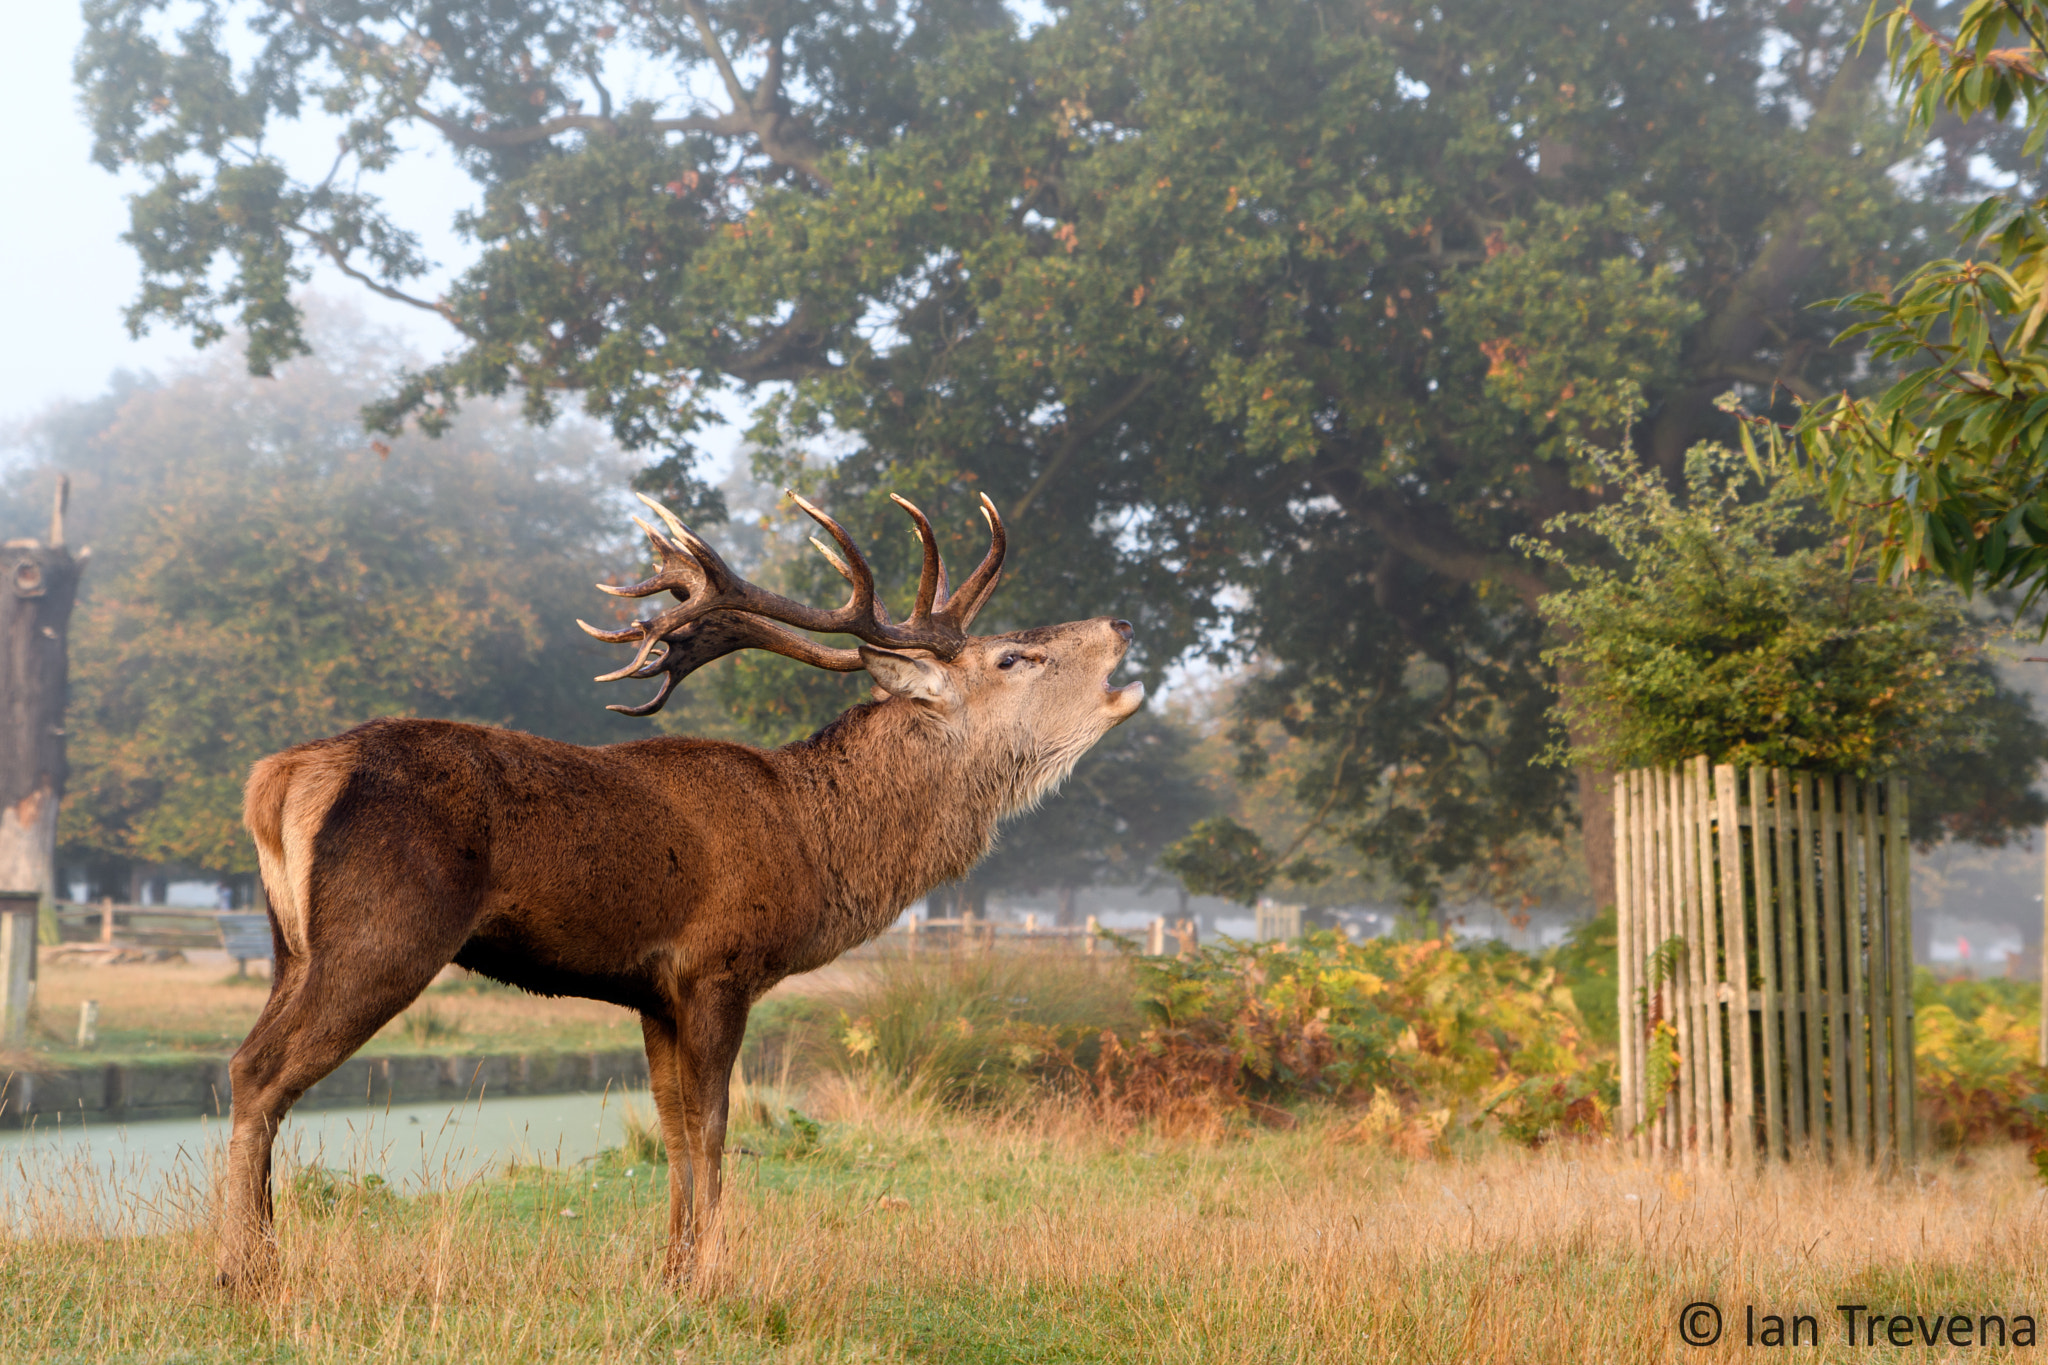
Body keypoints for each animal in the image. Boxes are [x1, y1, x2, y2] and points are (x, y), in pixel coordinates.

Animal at [217, 488, 1144, 1289]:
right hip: (384, 933)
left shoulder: (653, 990)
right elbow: (714, 1124)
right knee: (261, 1070)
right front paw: (712, 1274)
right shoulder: (717, 965)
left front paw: (669, 1268)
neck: (815, 846)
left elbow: (669, 1126)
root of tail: (278, 777)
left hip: (289, 946)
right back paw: (247, 1270)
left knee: (243, 1057)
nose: (1122, 621)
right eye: (1013, 656)